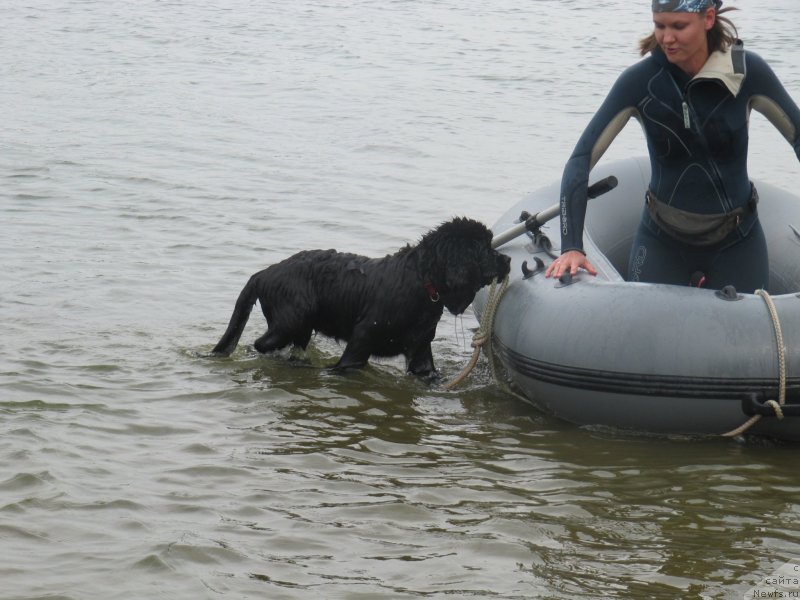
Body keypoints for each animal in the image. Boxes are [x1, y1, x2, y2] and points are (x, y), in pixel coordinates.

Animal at [209, 216, 510, 376]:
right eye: (485, 248)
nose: (507, 259)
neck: (421, 282)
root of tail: (263, 273)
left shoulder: (421, 349)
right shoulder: (362, 338)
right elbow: (347, 364)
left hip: (299, 326)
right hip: (290, 320)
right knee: (260, 344)